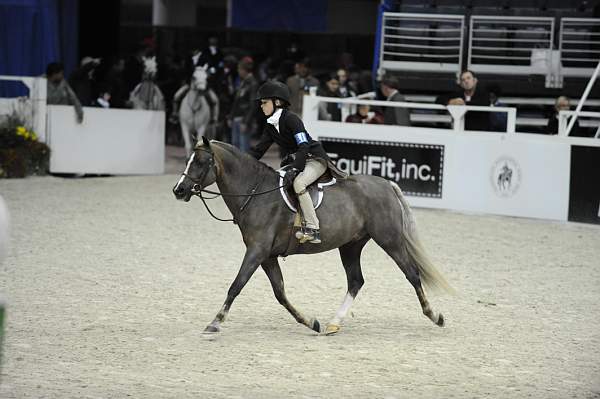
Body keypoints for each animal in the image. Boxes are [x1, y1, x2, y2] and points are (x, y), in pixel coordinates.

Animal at [173, 139, 454, 336]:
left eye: (200, 162)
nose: (179, 190)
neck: (255, 193)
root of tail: (386, 183)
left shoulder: (257, 251)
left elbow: (236, 285)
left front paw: (215, 322)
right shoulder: (267, 256)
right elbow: (280, 293)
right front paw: (311, 322)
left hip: (390, 240)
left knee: (412, 274)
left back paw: (435, 316)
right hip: (351, 245)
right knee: (356, 281)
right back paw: (332, 324)